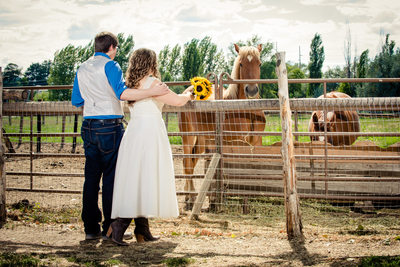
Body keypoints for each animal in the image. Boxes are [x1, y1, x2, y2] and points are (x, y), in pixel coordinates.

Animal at [180, 44, 268, 210]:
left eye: (259, 64)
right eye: (241, 64)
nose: (251, 90)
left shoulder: (256, 141)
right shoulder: (237, 142)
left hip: (201, 140)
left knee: (192, 163)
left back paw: (190, 197)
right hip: (188, 136)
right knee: (187, 164)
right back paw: (189, 199)